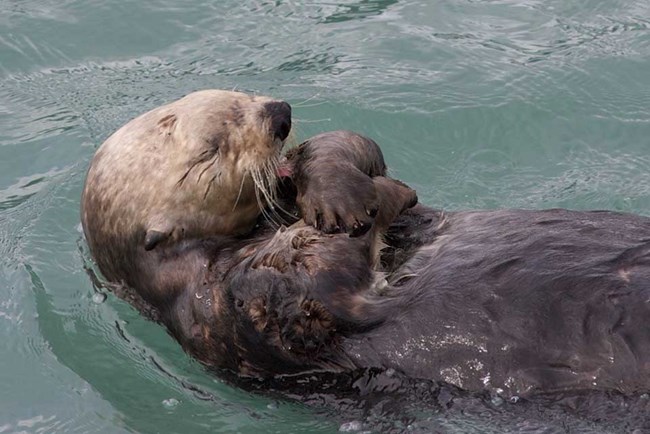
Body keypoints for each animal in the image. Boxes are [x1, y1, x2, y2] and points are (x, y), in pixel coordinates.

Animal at [81, 90, 648, 398]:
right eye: (209, 151)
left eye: (237, 97)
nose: (279, 113)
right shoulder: (235, 306)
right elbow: (319, 276)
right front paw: (358, 205)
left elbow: (351, 147)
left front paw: (339, 190)